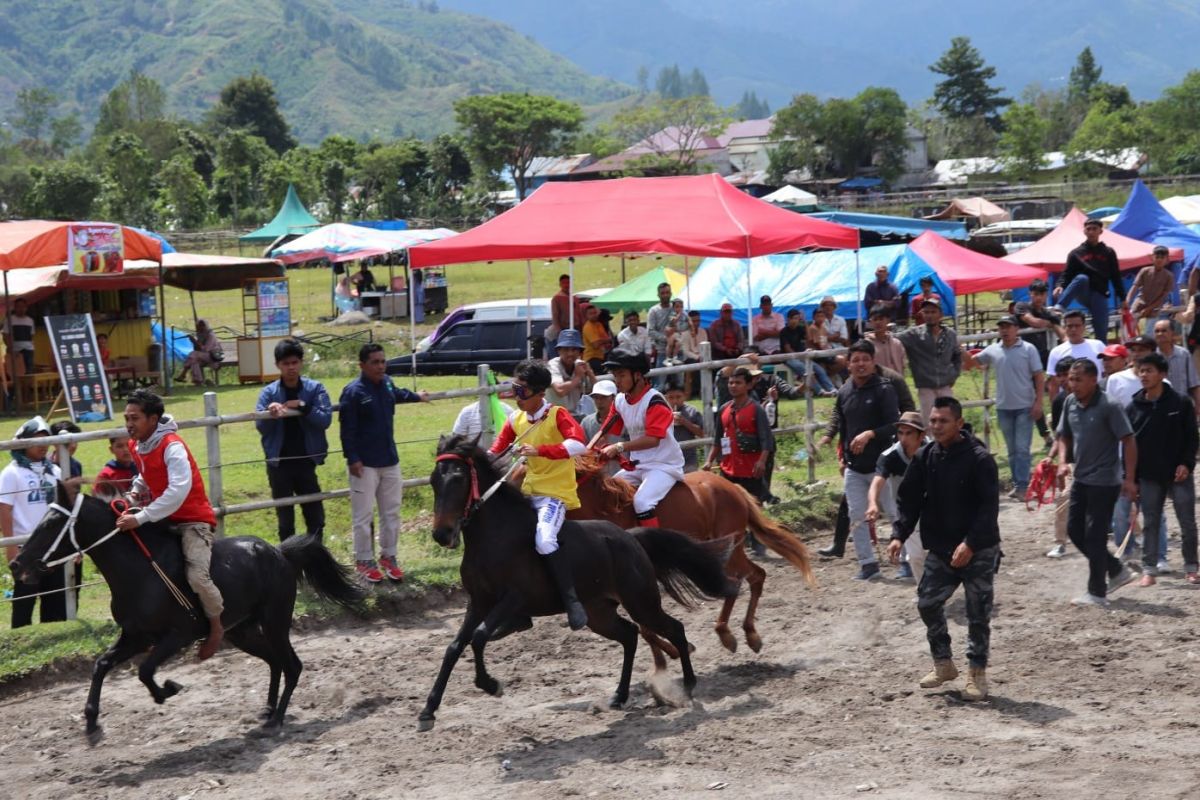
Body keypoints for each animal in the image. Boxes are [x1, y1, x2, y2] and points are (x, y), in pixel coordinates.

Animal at [9, 484, 362, 734]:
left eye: (52, 523)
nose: (16, 564)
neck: (141, 572)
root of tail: (279, 552)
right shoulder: (135, 636)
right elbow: (102, 664)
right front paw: (92, 721)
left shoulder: (179, 634)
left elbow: (145, 670)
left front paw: (168, 689)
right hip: (242, 631)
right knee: (276, 662)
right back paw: (268, 710)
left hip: (275, 622)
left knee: (293, 665)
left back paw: (277, 720)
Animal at [422, 438, 739, 734]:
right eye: (434, 480)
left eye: (459, 478)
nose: (441, 534)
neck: (495, 537)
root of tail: (630, 537)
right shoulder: (478, 602)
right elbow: (454, 647)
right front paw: (428, 711)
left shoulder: (513, 599)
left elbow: (478, 637)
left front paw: (491, 684)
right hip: (599, 613)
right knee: (630, 635)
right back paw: (619, 696)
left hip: (642, 603)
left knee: (674, 629)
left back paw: (688, 685)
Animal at [571, 455, 816, 657]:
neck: (608, 510)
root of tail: (731, 486)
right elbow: (644, 629)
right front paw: (671, 653)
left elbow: (645, 627)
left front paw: (679, 649)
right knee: (744, 579)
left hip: (730, 547)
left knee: (750, 577)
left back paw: (740, 635)